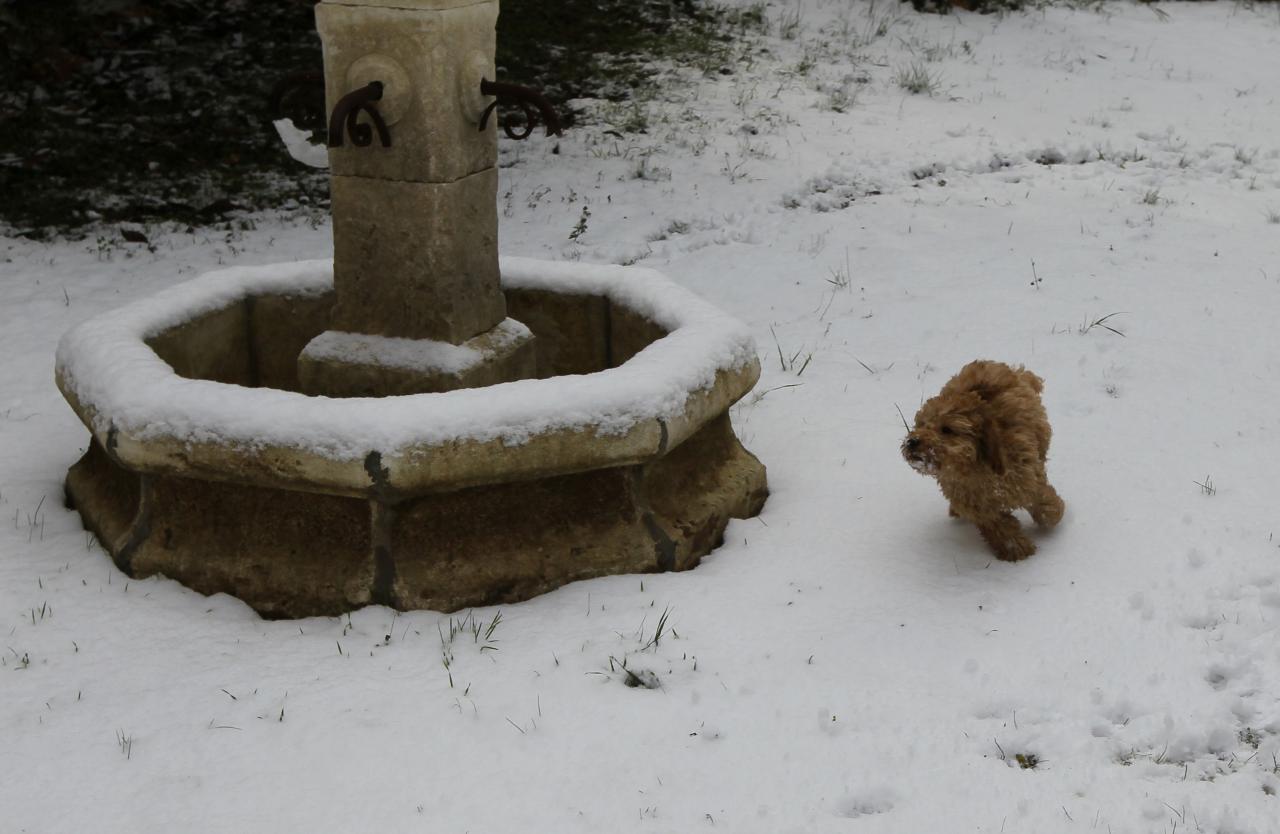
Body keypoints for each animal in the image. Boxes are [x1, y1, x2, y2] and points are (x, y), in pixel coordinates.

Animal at [906, 358, 1064, 560]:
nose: (912, 441)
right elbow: (1000, 527)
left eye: (947, 429)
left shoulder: (1027, 477)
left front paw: (1053, 514)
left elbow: (1042, 501)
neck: (974, 471)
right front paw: (1017, 550)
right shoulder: (979, 508)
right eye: (920, 424)